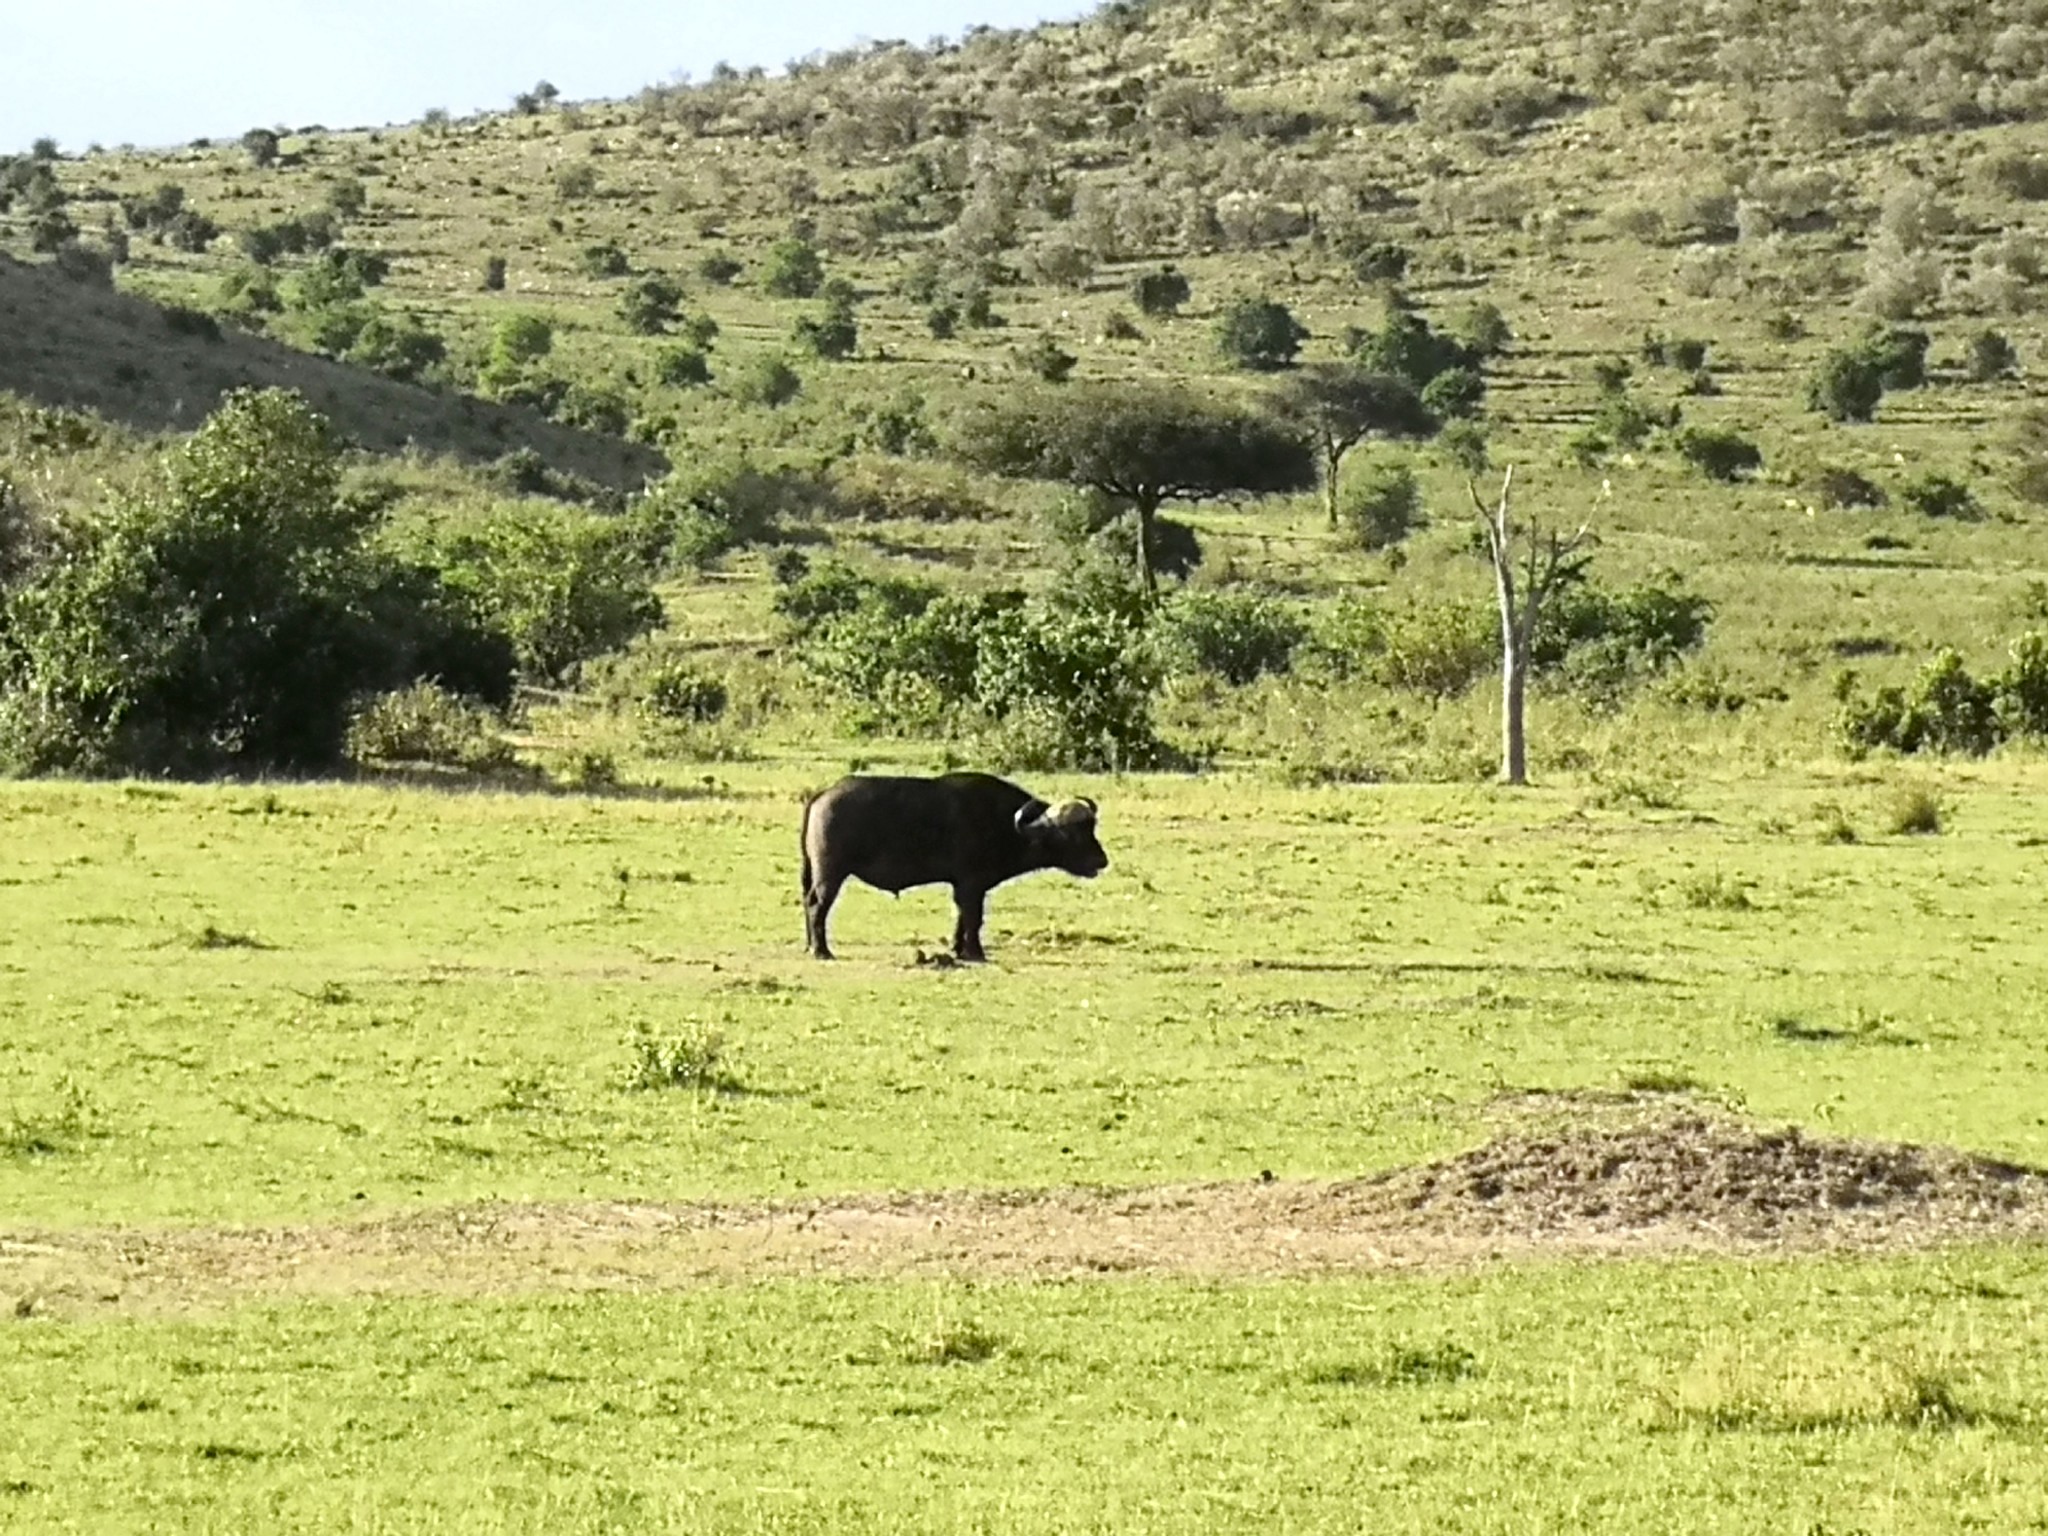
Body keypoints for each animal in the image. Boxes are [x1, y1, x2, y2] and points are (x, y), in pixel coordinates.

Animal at [798, 770, 1114, 962]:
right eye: (1068, 833)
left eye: (1091, 827)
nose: (1101, 860)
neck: (1006, 826)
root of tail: (823, 794)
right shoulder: (972, 884)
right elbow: (974, 918)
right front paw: (975, 952)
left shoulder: (964, 886)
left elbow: (962, 916)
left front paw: (959, 949)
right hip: (831, 874)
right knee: (817, 905)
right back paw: (822, 951)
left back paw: (811, 945)